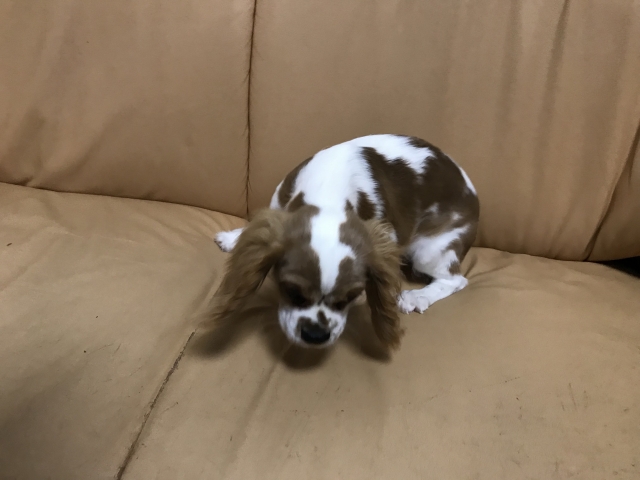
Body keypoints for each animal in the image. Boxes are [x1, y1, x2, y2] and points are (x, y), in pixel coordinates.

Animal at [212, 134, 479, 350]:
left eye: (351, 297)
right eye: (291, 291)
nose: (316, 335)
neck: (327, 193)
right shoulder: (280, 200)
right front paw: (235, 237)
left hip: (430, 251)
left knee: (456, 280)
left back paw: (418, 296)